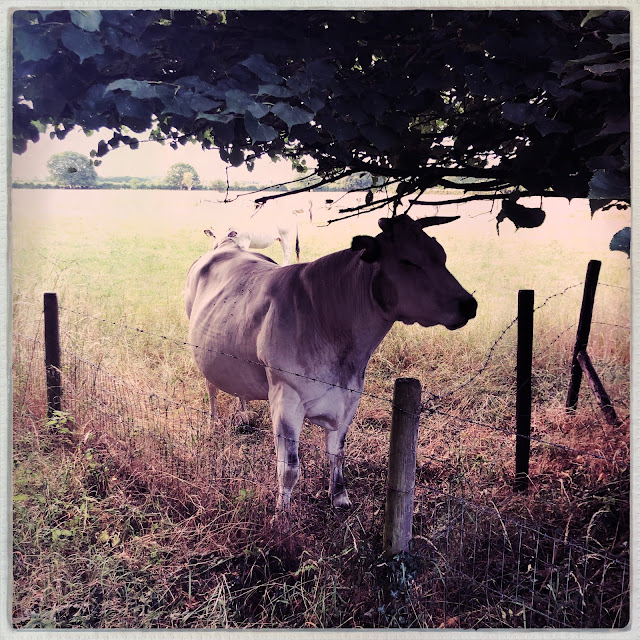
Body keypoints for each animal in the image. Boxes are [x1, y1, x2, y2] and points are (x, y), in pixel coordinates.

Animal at [185, 215, 476, 520]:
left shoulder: (350, 396)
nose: (469, 304)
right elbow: (289, 468)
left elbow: (337, 452)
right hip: (202, 349)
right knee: (211, 387)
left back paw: (242, 413)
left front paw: (339, 497)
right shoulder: (286, 396)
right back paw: (213, 422)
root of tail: (226, 245)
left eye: (442, 256)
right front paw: (282, 517)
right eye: (408, 261)